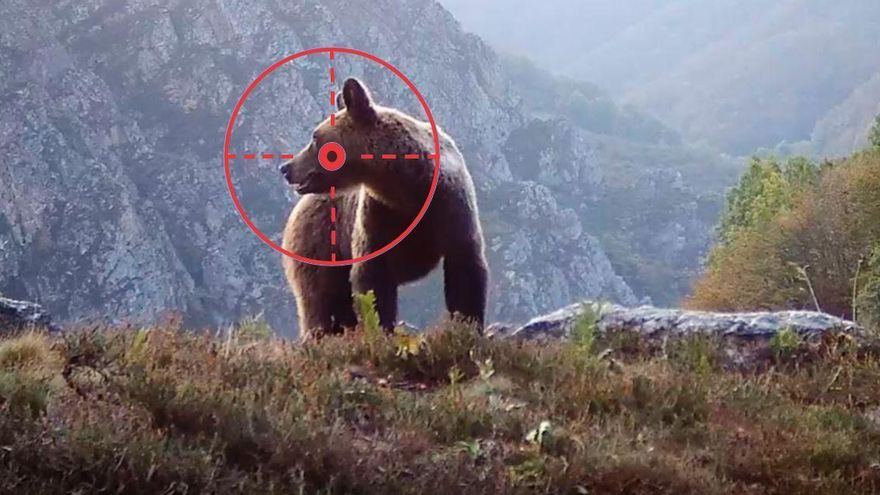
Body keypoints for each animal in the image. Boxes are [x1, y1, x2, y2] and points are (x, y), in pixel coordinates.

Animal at [280, 78, 488, 339]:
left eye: (314, 137)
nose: (286, 167)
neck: (408, 187)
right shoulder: (376, 218)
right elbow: (372, 281)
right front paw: (380, 329)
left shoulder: (450, 207)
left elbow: (465, 270)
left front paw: (467, 325)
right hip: (320, 243)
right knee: (320, 298)